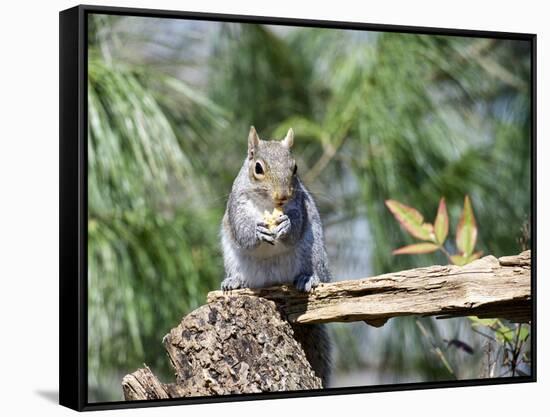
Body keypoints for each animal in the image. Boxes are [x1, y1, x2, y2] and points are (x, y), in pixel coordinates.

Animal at [222, 125, 334, 386]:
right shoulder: (236, 205)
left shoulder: (299, 205)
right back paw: (235, 281)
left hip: (314, 250)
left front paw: (285, 226)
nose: (282, 196)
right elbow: (242, 230)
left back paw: (308, 278)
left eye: (295, 168)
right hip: (232, 255)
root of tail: (274, 279)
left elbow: (295, 224)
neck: (267, 205)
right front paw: (257, 231)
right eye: (258, 168)